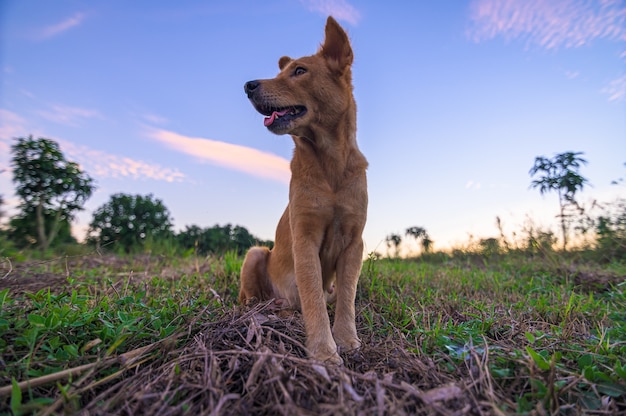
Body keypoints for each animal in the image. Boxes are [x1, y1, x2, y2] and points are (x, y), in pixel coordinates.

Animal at [238, 16, 366, 364]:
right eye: (283, 71)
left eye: (299, 71)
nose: (248, 85)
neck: (329, 165)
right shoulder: (304, 237)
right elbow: (312, 298)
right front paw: (323, 351)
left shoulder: (355, 242)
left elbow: (347, 296)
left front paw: (346, 339)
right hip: (255, 255)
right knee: (252, 300)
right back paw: (271, 310)